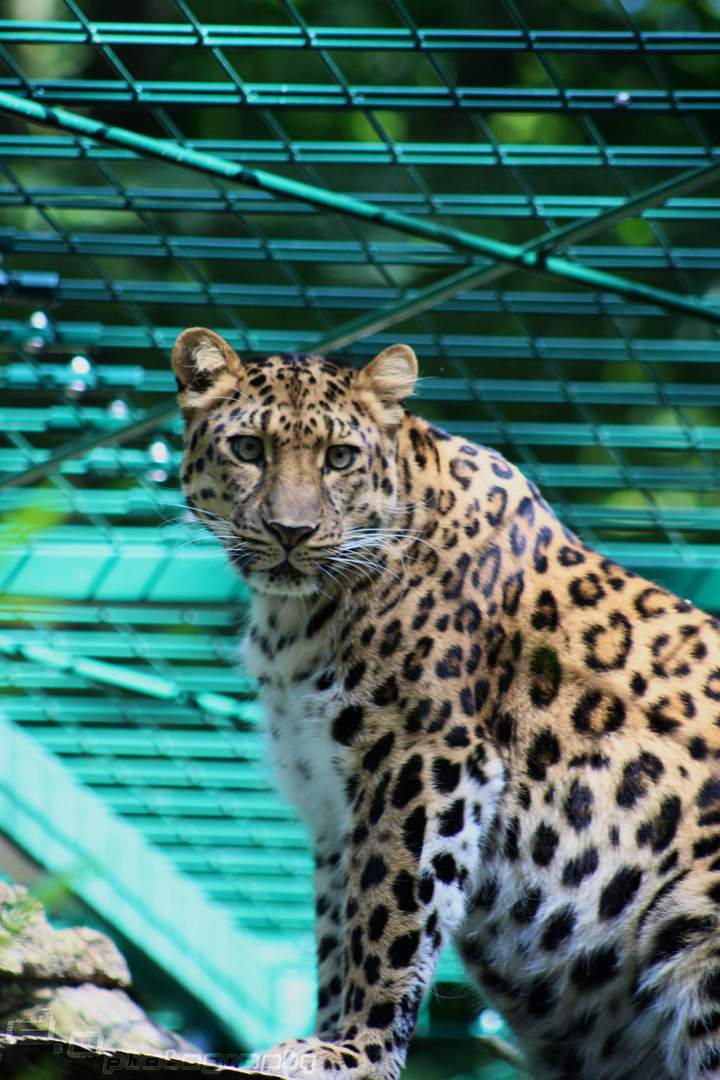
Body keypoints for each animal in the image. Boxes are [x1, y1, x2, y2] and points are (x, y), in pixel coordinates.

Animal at [172, 324, 720, 1075]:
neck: (297, 622)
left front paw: (356, 1052)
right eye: (249, 449)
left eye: (340, 458)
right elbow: (337, 932)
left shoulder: (424, 760)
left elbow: (387, 918)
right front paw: (328, 1036)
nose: (291, 532)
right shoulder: (335, 805)